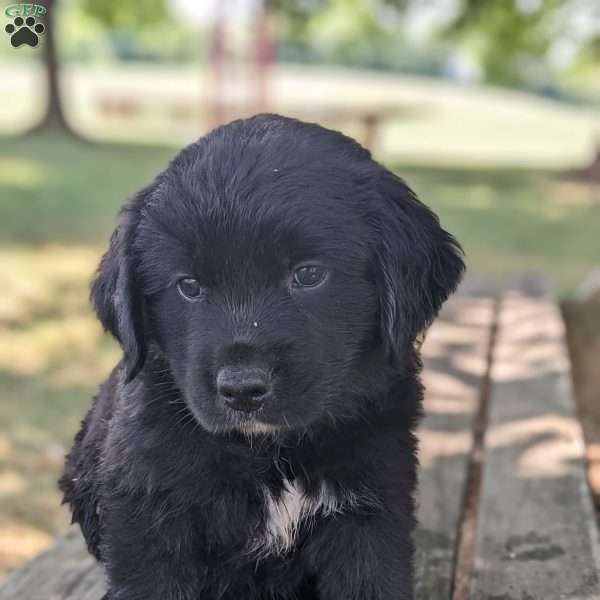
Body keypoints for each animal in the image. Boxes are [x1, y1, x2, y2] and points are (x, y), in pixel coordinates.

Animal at [61, 115, 464, 596]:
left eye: (308, 274)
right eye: (189, 286)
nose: (242, 390)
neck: (270, 451)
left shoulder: (371, 508)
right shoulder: (149, 519)